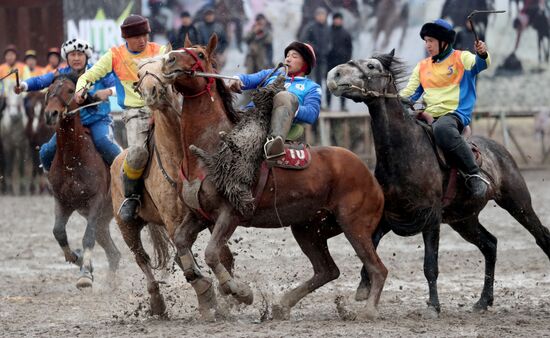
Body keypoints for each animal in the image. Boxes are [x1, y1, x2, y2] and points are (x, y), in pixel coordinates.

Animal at [43, 73, 122, 288]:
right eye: (49, 90)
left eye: (71, 90)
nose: (51, 114)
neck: (74, 159)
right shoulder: (63, 202)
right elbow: (58, 232)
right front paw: (78, 259)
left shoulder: (95, 200)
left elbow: (88, 238)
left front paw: (85, 274)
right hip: (103, 221)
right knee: (114, 253)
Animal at [110, 53, 235, 320]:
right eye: (139, 74)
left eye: (162, 67)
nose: (152, 92)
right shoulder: (173, 221)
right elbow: (188, 262)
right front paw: (208, 299)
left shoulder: (209, 216)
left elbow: (222, 255)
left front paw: (227, 296)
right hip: (128, 228)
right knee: (142, 259)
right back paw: (157, 302)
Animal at [161, 35, 388, 320]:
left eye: (200, 54)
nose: (168, 59)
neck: (212, 149)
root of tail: (372, 178)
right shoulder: (199, 214)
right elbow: (181, 243)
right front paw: (204, 288)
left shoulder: (231, 212)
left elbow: (212, 253)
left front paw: (240, 292)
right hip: (308, 229)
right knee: (327, 270)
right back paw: (282, 305)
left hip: (354, 226)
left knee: (377, 268)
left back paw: (368, 310)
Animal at [326, 51, 550, 316]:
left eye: (371, 66)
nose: (335, 74)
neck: (404, 152)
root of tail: (499, 149)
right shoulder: (390, 216)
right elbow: (370, 246)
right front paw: (363, 287)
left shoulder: (431, 218)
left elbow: (430, 265)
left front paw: (433, 305)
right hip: (464, 220)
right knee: (490, 245)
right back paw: (483, 301)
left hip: (518, 203)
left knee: (541, 236)